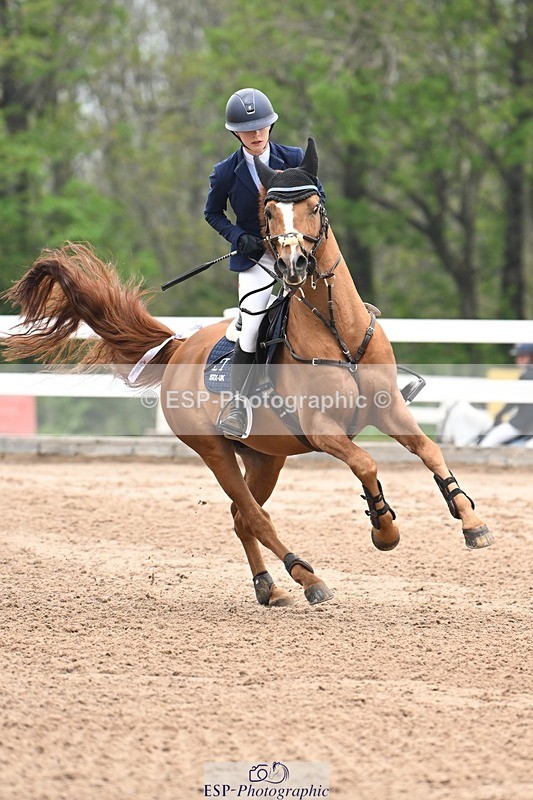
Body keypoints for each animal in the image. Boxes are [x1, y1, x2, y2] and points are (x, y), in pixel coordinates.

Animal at [2, 138, 493, 608]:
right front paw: (384, 530)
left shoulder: (388, 409)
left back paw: (269, 587)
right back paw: (307, 577)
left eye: (314, 206)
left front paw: (471, 521)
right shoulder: (321, 429)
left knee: (242, 518)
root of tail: (180, 347)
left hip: (264, 456)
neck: (337, 330)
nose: (293, 265)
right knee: (254, 516)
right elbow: (365, 462)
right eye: (269, 213)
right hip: (215, 451)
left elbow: (429, 450)